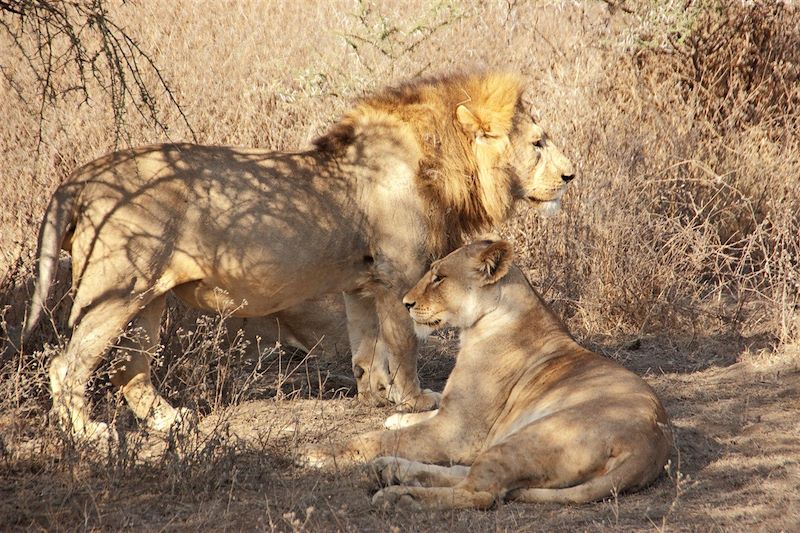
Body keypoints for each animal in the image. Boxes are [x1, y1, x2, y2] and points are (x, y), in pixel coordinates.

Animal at [25, 72, 576, 438]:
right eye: (538, 143)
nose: (571, 175)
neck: (440, 163)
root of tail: (82, 176)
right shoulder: (400, 276)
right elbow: (403, 344)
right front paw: (415, 400)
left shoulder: (362, 283)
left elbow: (365, 348)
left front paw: (372, 396)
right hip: (117, 290)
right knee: (67, 366)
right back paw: (89, 436)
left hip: (149, 297)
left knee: (131, 369)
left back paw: (171, 420)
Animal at [304, 240, 672, 508]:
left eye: (439, 277)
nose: (406, 303)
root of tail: (650, 446)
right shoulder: (455, 418)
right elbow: (419, 419)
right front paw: (399, 418)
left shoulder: (459, 431)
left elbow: (377, 438)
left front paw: (322, 453)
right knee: (467, 474)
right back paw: (390, 470)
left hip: (528, 438)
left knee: (481, 493)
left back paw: (398, 493)